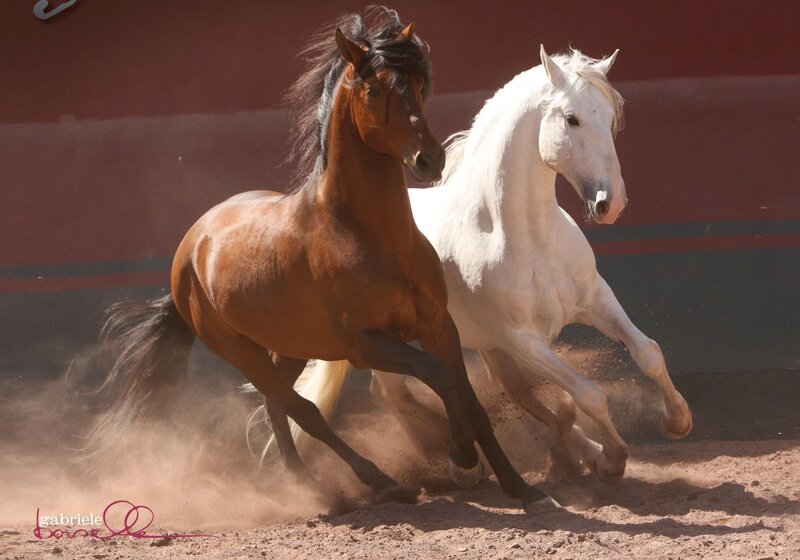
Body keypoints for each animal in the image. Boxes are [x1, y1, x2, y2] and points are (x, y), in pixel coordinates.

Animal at [86, 7, 551, 512]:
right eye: (373, 90)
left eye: (419, 84)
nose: (430, 160)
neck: (371, 237)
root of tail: (191, 247)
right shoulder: (363, 344)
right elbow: (440, 377)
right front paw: (461, 459)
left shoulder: (437, 325)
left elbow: (470, 398)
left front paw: (520, 487)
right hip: (240, 351)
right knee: (299, 408)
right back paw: (367, 483)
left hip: (287, 345)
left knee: (276, 405)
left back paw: (310, 483)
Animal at [272, 46, 693, 486]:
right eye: (571, 118)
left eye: (610, 119)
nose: (610, 203)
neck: (525, 235)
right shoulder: (521, 338)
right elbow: (588, 394)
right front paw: (613, 459)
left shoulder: (595, 299)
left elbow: (648, 352)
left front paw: (676, 421)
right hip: (388, 341)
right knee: (391, 392)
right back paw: (461, 459)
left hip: (482, 345)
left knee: (520, 396)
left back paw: (568, 454)